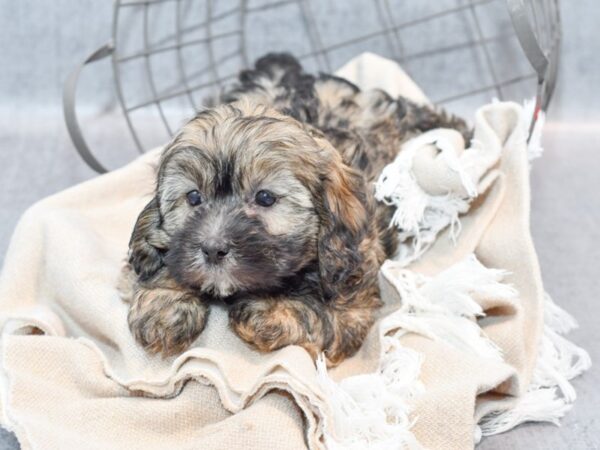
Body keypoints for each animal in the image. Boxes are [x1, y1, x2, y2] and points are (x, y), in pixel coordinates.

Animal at [120, 54, 468, 368]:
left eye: (264, 198)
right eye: (193, 197)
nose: (213, 249)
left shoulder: (351, 303)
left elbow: (315, 314)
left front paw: (270, 312)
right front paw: (165, 306)